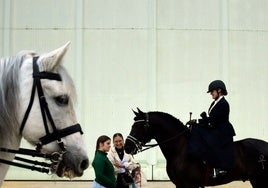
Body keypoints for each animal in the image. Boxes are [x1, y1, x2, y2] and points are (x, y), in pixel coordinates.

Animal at [125, 108, 268, 187]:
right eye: (132, 126)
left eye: (140, 126)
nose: (127, 146)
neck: (180, 149)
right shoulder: (180, 185)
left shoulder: (189, 184)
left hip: (259, 180)